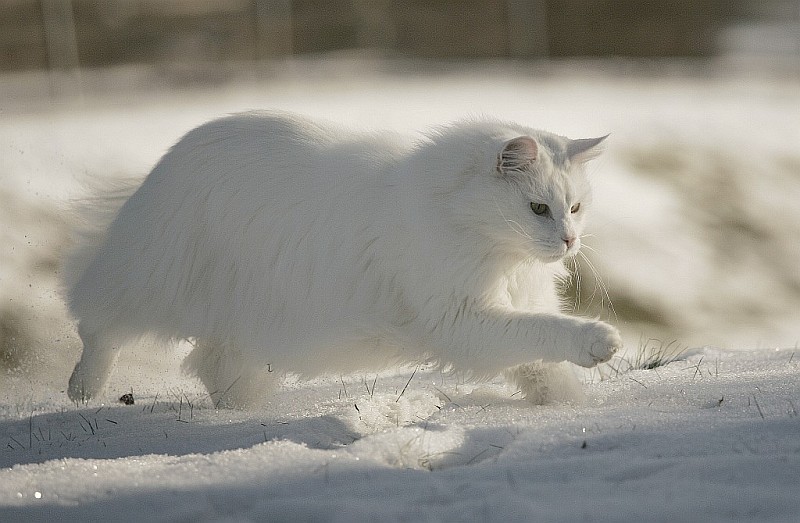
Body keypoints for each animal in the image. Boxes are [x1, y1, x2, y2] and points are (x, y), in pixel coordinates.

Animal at [65, 112, 620, 408]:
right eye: (537, 209)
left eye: (575, 208)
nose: (568, 241)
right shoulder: (460, 318)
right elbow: (544, 333)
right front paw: (599, 342)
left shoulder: (506, 308)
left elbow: (543, 367)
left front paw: (571, 410)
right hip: (148, 278)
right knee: (97, 326)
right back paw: (83, 389)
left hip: (242, 325)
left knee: (211, 364)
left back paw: (243, 409)